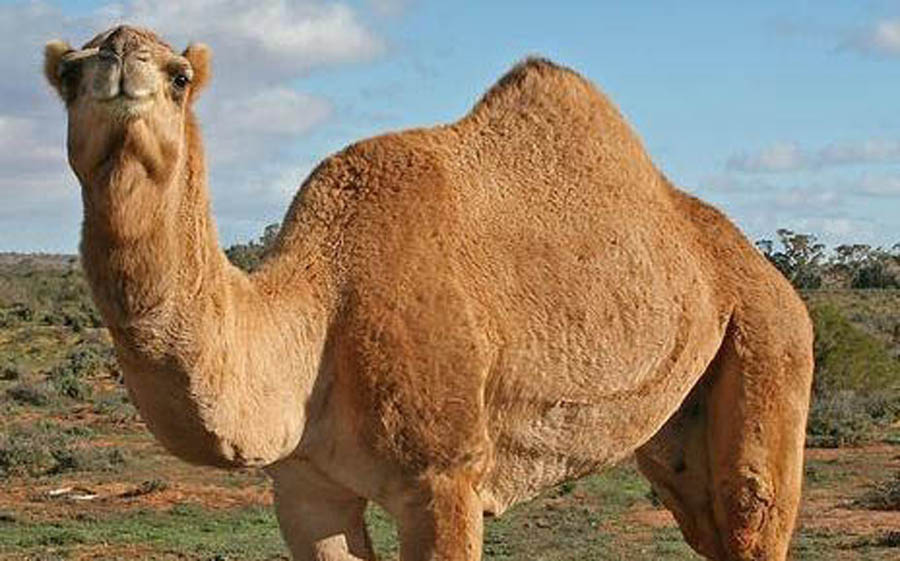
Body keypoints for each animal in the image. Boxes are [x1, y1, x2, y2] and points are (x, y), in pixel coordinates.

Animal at [43, 25, 813, 561]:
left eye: (178, 76)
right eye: (69, 72)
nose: (120, 57)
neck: (319, 310)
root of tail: (773, 278)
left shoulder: (443, 477)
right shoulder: (304, 488)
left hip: (769, 340)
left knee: (753, 507)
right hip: (676, 421)